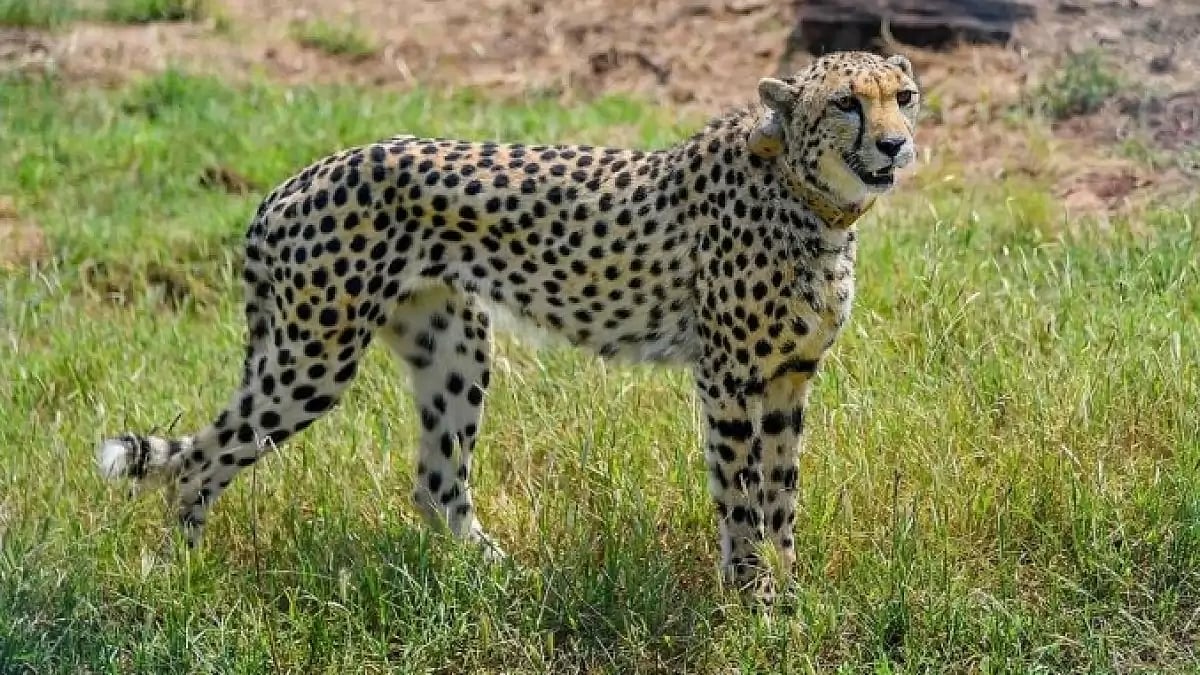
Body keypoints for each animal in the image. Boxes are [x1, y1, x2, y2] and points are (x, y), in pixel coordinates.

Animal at [95, 50, 921, 602]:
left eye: (904, 96)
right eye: (847, 103)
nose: (895, 143)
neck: (811, 200)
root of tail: (296, 179)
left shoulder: (788, 379)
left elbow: (782, 495)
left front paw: (791, 593)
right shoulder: (728, 379)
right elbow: (741, 498)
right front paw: (755, 599)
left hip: (453, 345)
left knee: (436, 484)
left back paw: (504, 579)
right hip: (314, 357)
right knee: (201, 461)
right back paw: (180, 575)